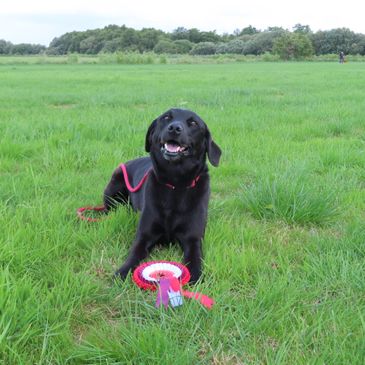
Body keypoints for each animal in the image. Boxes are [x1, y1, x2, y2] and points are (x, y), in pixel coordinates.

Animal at [104, 108, 220, 282]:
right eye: (166, 117)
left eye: (193, 122)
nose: (174, 128)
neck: (176, 184)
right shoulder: (144, 235)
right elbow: (134, 254)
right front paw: (122, 272)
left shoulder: (193, 238)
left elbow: (195, 259)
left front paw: (196, 278)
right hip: (114, 184)